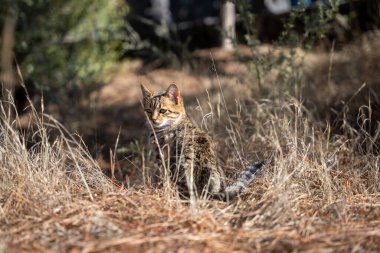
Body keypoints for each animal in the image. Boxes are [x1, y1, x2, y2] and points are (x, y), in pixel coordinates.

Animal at [140, 83, 268, 202]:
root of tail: (210, 192)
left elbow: (163, 177)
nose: (153, 119)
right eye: (148, 111)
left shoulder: (162, 156)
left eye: (163, 110)